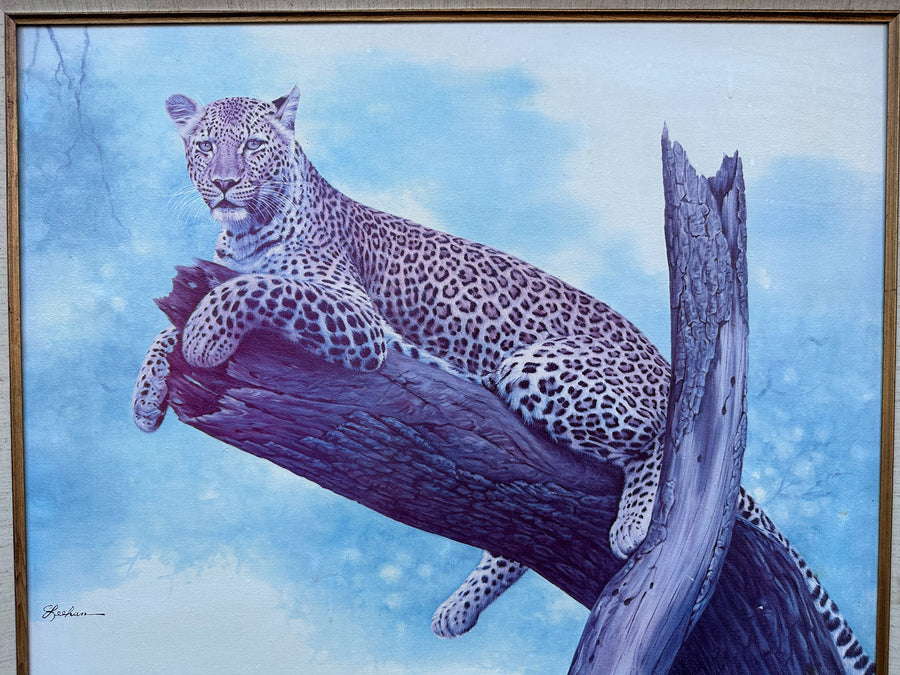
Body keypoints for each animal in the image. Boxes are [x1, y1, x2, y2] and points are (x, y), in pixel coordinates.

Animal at [132, 87, 873, 674]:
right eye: (205, 147)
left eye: (253, 146)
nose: (224, 185)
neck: (247, 231)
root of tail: (663, 359)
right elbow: (184, 312)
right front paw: (147, 395)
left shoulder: (357, 321)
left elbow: (255, 290)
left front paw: (204, 336)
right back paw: (458, 609)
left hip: (537, 369)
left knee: (659, 438)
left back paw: (633, 524)